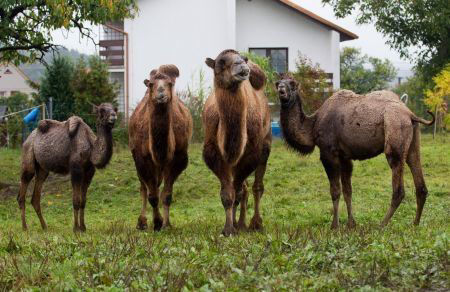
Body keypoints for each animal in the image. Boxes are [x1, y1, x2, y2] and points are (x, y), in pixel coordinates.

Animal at [19, 102, 118, 230]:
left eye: (115, 109)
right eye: (102, 110)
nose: (113, 116)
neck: (91, 149)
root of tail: (27, 139)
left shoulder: (89, 171)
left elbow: (83, 201)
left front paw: (83, 227)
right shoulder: (76, 169)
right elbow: (76, 201)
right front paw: (76, 228)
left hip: (42, 169)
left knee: (35, 198)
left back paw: (45, 227)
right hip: (28, 158)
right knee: (22, 191)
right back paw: (25, 228)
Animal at [127, 64, 192, 230]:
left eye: (170, 83)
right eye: (151, 84)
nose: (161, 94)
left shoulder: (177, 159)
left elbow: (166, 195)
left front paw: (166, 224)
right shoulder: (142, 159)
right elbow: (152, 196)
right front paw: (157, 222)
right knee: (144, 188)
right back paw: (142, 222)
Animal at [203, 49, 270, 237]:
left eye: (242, 58)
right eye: (221, 62)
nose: (241, 64)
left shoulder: (251, 155)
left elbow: (238, 192)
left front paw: (234, 227)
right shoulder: (214, 155)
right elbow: (227, 195)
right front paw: (228, 229)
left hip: (265, 145)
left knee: (256, 187)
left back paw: (254, 223)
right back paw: (239, 223)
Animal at [276, 76, 434, 229]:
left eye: (292, 83)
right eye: (278, 82)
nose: (281, 89)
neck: (312, 125)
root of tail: (410, 114)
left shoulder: (329, 153)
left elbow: (335, 191)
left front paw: (334, 226)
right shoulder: (345, 157)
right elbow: (348, 191)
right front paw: (351, 224)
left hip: (394, 137)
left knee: (399, 190)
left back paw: (381, 225)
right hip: (413, 142)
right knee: (420, 183)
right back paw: (415, 224)